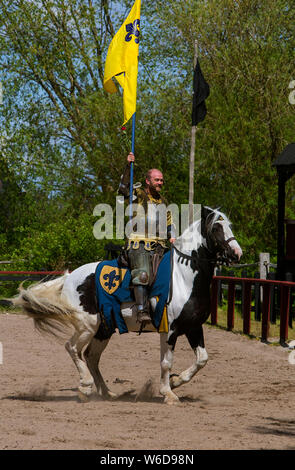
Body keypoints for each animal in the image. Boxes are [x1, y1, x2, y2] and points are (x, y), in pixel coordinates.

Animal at [13, 207, 243, 406]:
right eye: (216, 228)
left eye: (230, 225)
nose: (237, 253)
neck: (183, 277)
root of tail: (70, 277)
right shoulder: (170, 330)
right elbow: (166, 362)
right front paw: (168, 393)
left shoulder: (193, 327)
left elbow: (202, 359)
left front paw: (176, 381)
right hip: (87, 325)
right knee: (72, 348)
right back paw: (85, 387)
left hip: (103, 330)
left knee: (91, 357)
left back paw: (106, 393)